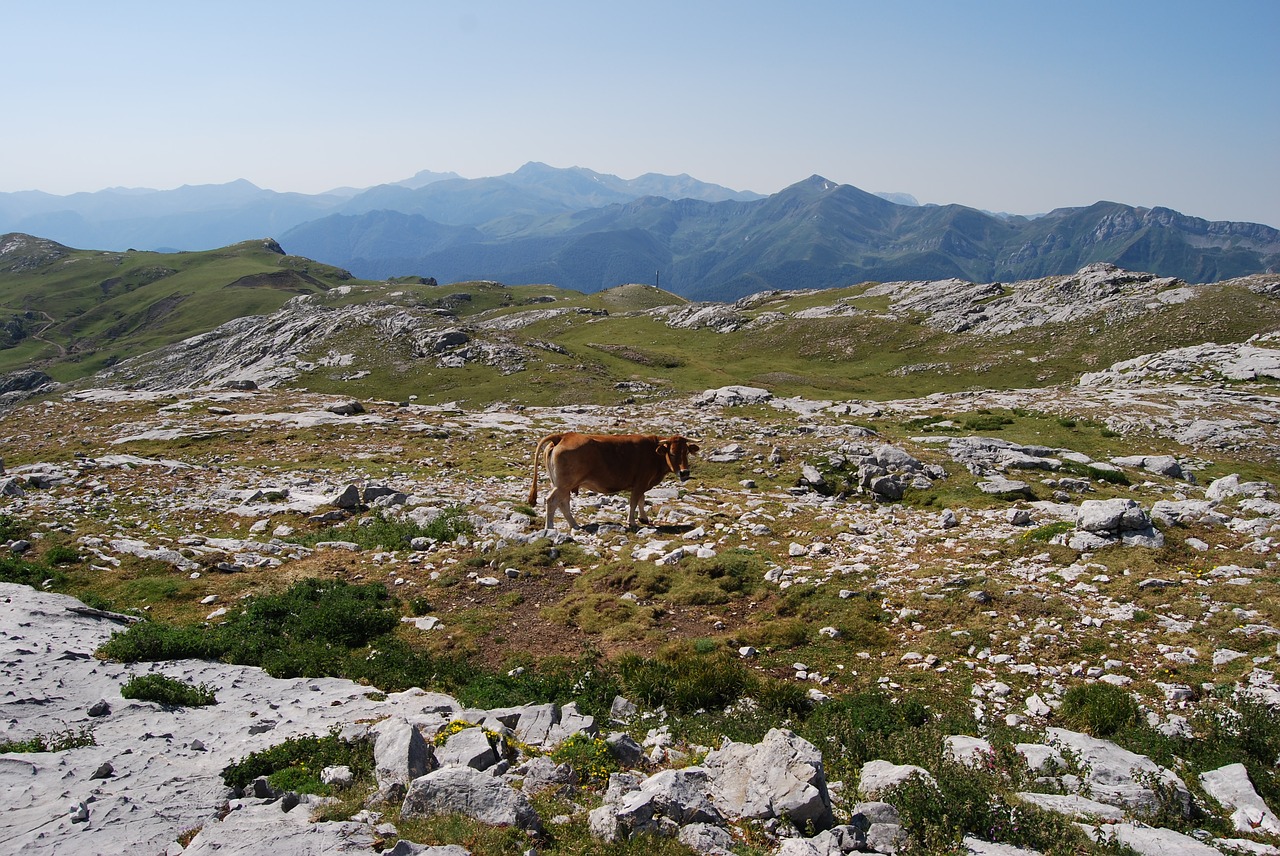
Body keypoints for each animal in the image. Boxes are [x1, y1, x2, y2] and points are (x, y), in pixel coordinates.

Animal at [524, 435, 696, 527]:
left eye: (686, 451)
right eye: (672, 453)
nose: (685, 472)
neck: (653, 454)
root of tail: (563, 435)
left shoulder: (641, 483)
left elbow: (641, 500)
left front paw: (643, 518)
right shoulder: (640, 482)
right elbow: (634, 502)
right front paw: (632, 522)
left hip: (562, 484)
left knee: (563, 502)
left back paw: (574, 525)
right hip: (563, 484)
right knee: (551, 501)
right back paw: (550, 527)